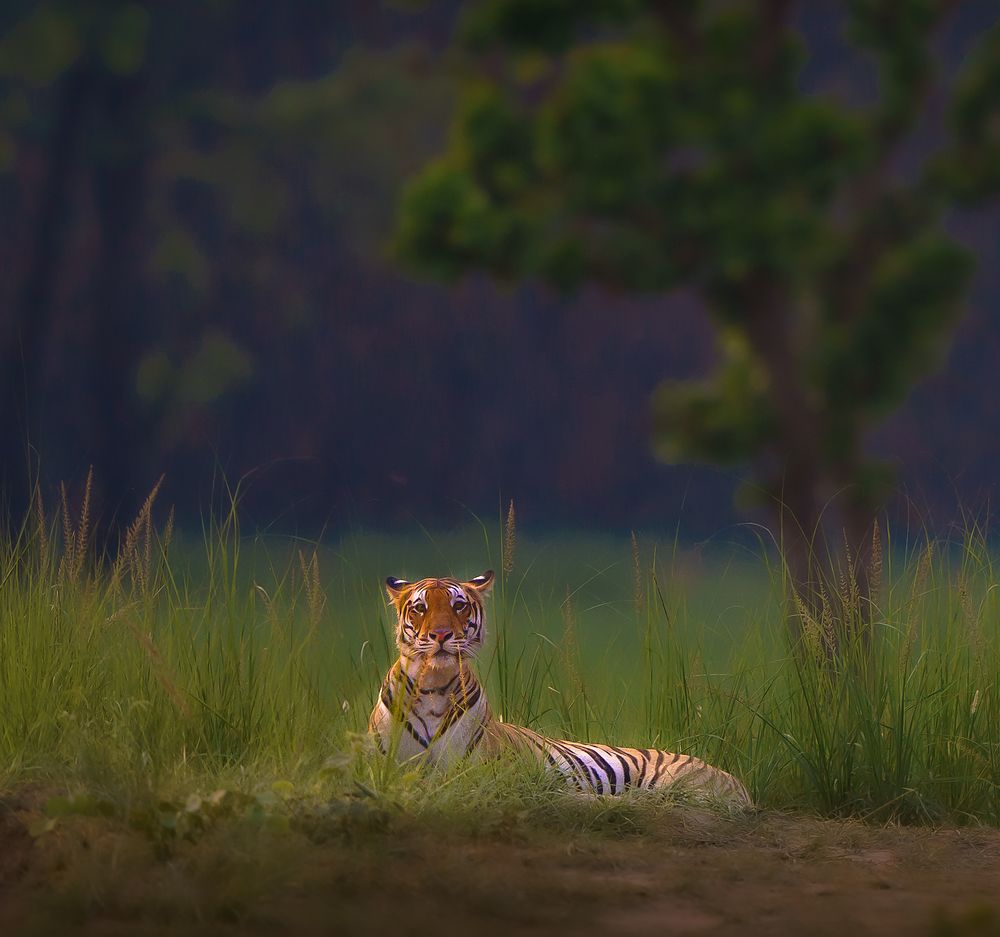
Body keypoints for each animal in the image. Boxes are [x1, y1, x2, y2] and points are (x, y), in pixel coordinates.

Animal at [367, 570, 752, 806]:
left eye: (458, 605)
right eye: (420, 608)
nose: (441, 635)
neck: (433, 685)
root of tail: (741, 784)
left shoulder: (479, 772)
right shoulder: (385, 768)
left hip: (682, 781)